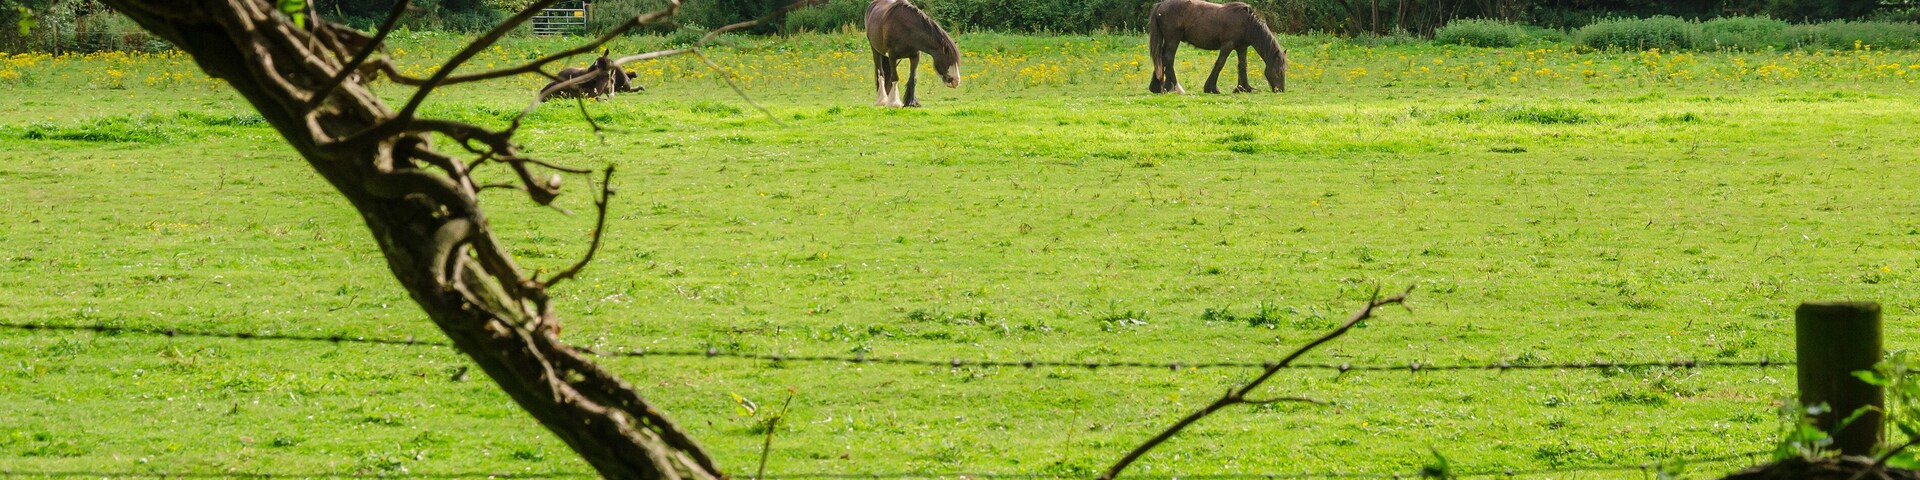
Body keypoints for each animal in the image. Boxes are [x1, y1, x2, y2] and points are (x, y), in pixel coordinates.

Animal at [1146, 0, 1289, 95]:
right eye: (1279, 71)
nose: (1280, 90)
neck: (1248, 23)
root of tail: (1161, 5)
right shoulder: (1227, 45)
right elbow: (1220, 64)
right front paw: (1211, 88)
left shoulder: (1241, 47)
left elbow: (1242, 66)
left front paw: (1243, 88)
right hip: (1173, 40)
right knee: (1168, 59)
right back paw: (1176, 88)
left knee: (1161, 59)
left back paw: (1159, 87)